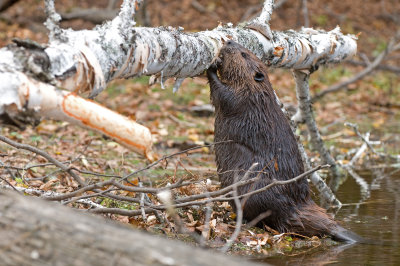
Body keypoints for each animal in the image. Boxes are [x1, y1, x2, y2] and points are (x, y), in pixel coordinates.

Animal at [208, 40, 360, 243]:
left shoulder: (242, 98)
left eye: (244, 54)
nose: (230, 41)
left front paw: (212, 66)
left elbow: (222, 94)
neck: (258, 92)